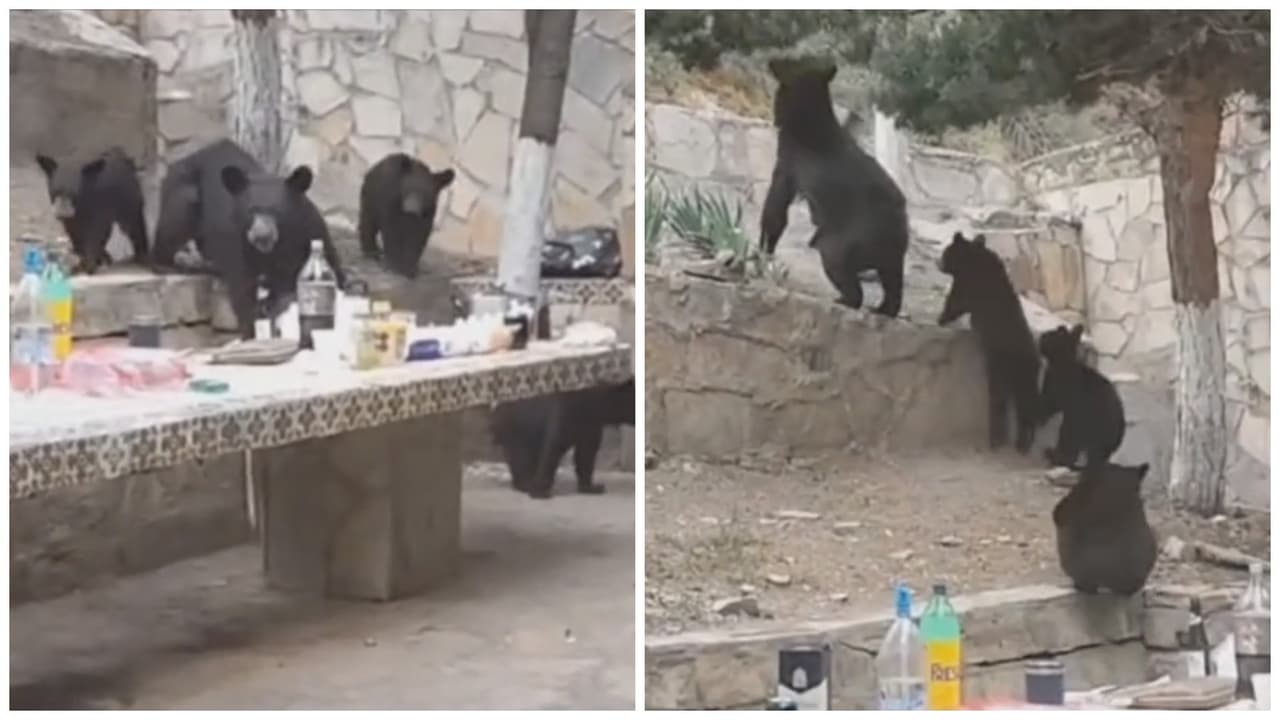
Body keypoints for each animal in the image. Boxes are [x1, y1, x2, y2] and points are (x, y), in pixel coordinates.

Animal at [154, 139, 348, 338]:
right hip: (183, 193)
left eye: (277, 212)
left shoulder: (310, 232)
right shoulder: (238, 244)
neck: (277, 247)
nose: (260, 236)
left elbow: (332, 274)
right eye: (250, 211)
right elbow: (244, 293)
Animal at [489, 378, 635, 500]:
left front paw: (592, 487)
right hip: (517, 428)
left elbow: (586, 453)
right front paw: (540, 491)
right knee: (521, 455)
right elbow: (554, 447)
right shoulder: (568, 413)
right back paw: (526, 483)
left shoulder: (591, 426)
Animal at [760, 57, 909, 317]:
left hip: (852, 237)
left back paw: (846, 299)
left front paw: (762, 249)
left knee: (835, 258)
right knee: (892, 280)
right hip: (892, 252)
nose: (774, 117)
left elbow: (776, 206)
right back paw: (884, 308)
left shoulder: (789, 158)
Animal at [937, 232, 1041, 453]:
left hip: (1003, 366)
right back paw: (1022, 441)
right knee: (1025, 403)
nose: (938, 263)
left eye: (945, 252)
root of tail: (1034, 360)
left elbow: (957, 301)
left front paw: (941, 318)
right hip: (1025, 376)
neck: (972, 260)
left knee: (1001, 398)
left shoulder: (970, 283)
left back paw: (999, 440)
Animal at [1038, 324, 1126, 471]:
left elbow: (1048, 405)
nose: (1040, 337)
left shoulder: (1056, 392)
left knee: (1070, 443)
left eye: (1047, 335)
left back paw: (1055, 456)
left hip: (1082, 422)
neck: (1063, 362)